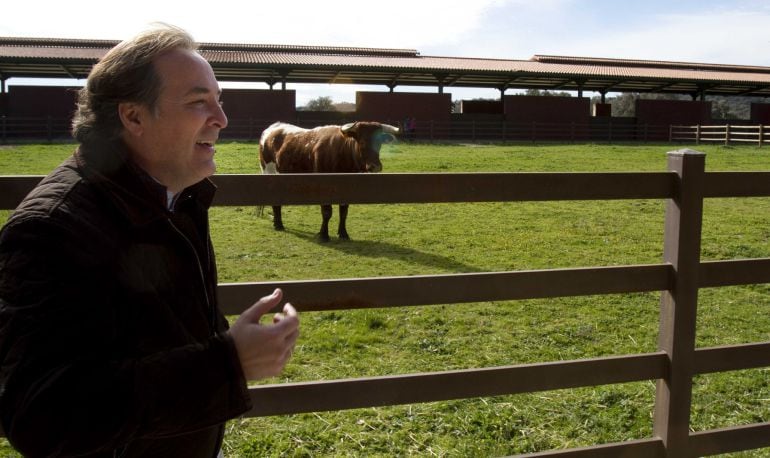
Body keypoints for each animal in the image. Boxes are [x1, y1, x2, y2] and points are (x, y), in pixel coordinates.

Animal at [260, 121, 400, 242]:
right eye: (362, 142)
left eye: (380, 143)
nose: (375, 166)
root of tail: (274, 127)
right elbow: (327, 212)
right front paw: (323, 235)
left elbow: (344, 211)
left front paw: (343, 233)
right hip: (270, 174)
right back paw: (278, 224)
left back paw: (277, 223)